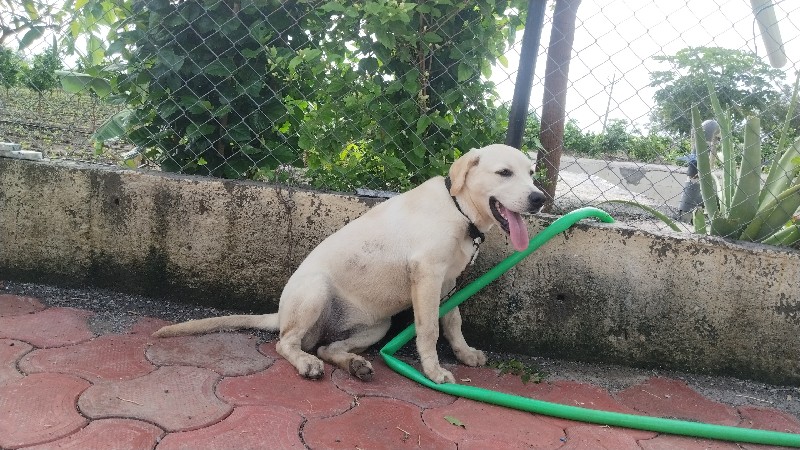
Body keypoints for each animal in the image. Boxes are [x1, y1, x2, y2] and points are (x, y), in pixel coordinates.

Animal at [153, 144, 548, 384]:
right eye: (504, 173)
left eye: (531, 173)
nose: (540, 198)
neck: (459, 209)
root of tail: (280, 314)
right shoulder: (427, 276)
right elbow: (429, 330)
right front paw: (434, 371)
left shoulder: (449, 282)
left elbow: (452, 321)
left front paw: (464, 353)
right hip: (314, 292)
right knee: (286, 344)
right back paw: (306, 363)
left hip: (378, 325)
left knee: (326, 348)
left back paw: (354, 364)